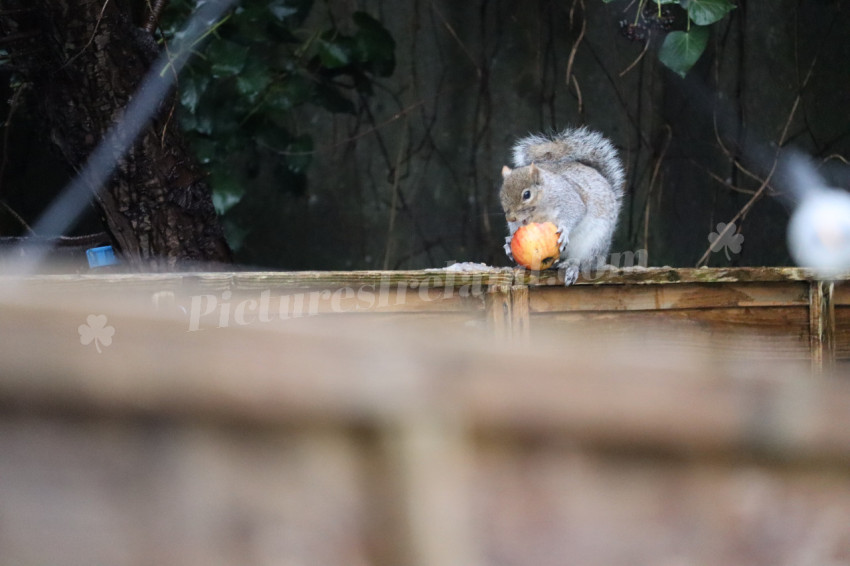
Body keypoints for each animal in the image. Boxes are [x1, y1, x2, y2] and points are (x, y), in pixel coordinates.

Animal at [500, 127, 626, 284]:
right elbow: (516, 229)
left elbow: (576, 211)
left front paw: (564, 230)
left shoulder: (567, 197)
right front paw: (509, 241)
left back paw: (572, 266)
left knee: (583, 262)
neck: (538, 212)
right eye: (501, 194)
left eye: (527, 194)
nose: (510, 218)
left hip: (594, 243)